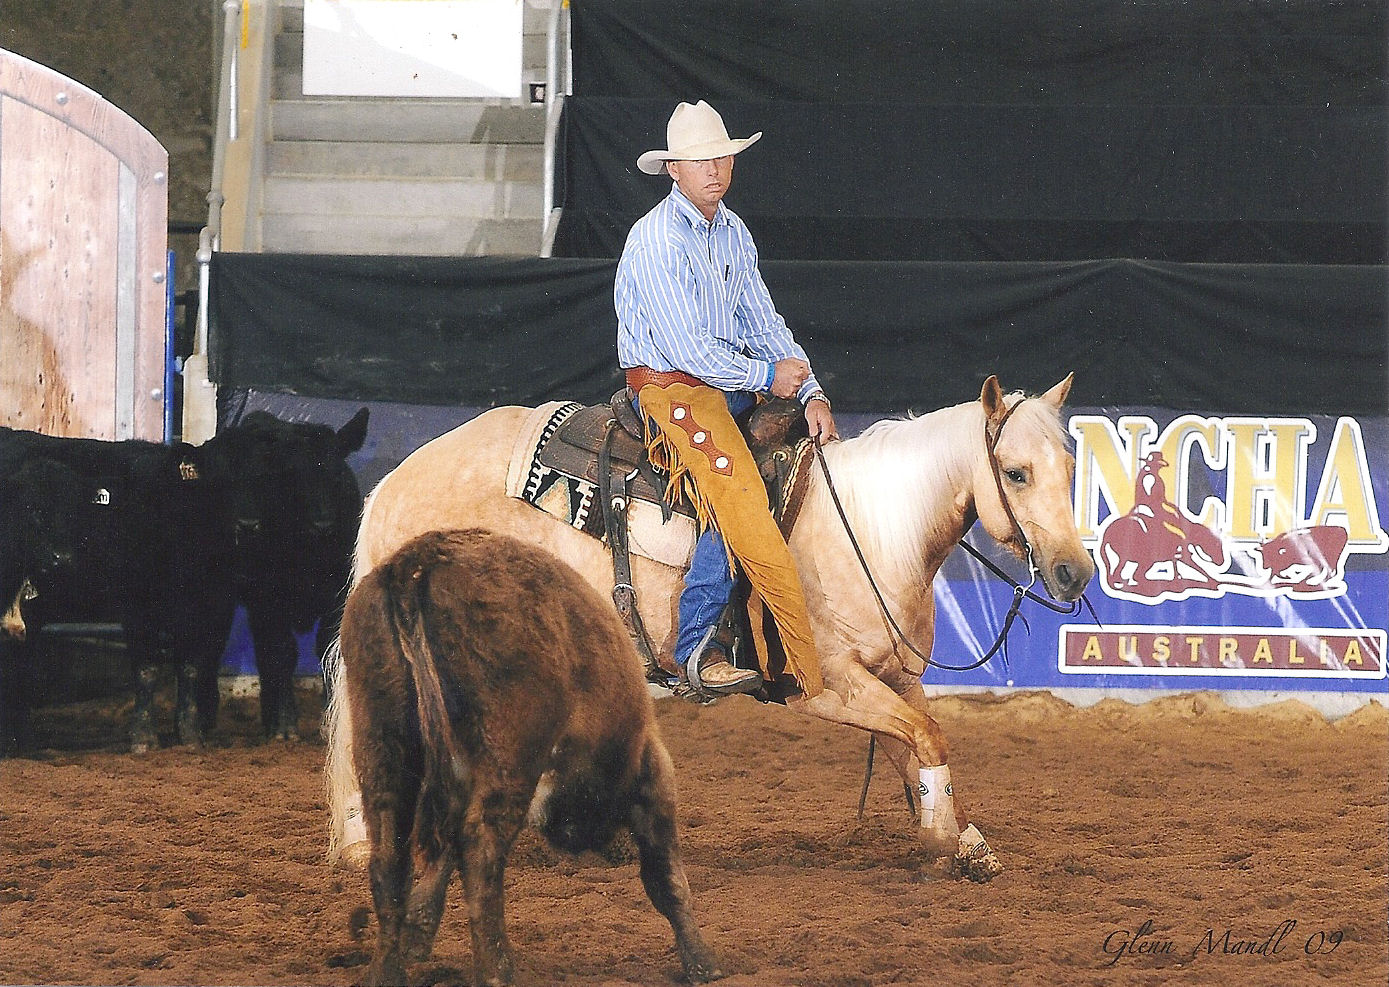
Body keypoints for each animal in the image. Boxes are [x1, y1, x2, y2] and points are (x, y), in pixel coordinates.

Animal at [324, 374, 1094, 882]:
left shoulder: (895, 676)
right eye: (1015, 472)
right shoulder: (826, 685)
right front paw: (944, 840)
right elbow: (923, 736)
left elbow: (915, 743)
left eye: (1068, 464)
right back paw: (373, 845)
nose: (1072, 573)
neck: (873, 529)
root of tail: (393, 482)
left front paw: (960, 841)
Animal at [340, 528, 721, 987]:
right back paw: (497, 969)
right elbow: (667, 879)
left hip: (382, 742)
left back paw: (387, 970)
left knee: (388, 859)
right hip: (511, 755)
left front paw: (418, 932)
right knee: (481, 848)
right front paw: (703, 962)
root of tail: (418, 559)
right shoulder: (650, 770)